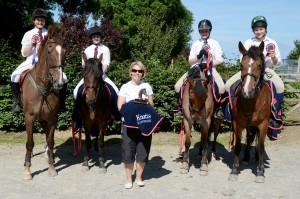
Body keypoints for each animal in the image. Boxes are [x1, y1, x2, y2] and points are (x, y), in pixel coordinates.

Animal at [19, 24, 67, 180]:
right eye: (49, 50)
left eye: (65, 51)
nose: (59, 83)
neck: (43, 89)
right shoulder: (29, 118)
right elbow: (29, 143)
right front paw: (27, 170)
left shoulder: (52, 119)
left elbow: (50, 142)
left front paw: (51, 167)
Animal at [229, 41, 270, 183]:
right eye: (241, 65)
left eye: (259, 65)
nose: (247, 91)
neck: (251, 103)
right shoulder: (238, 124)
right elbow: (238, 145)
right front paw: (235, 170)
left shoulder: (263, 125)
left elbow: (261, 146)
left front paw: (260, 172)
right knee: (248, 139)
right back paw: (246, 158)